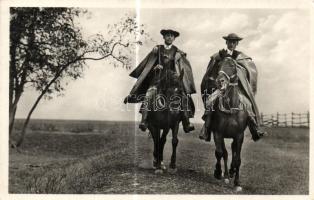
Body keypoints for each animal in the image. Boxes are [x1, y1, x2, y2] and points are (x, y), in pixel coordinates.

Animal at [210, 57, 251, 191]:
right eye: (219, 65)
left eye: (232, 65)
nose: (219, 81)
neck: (231, 108)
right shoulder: (218, 133)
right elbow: (220, 153)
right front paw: (219, 172)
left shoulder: (239, 136)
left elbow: (237, 159)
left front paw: (237, 182)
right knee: (225, 153)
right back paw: (227, 175)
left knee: (233, 152)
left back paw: (232, 172)